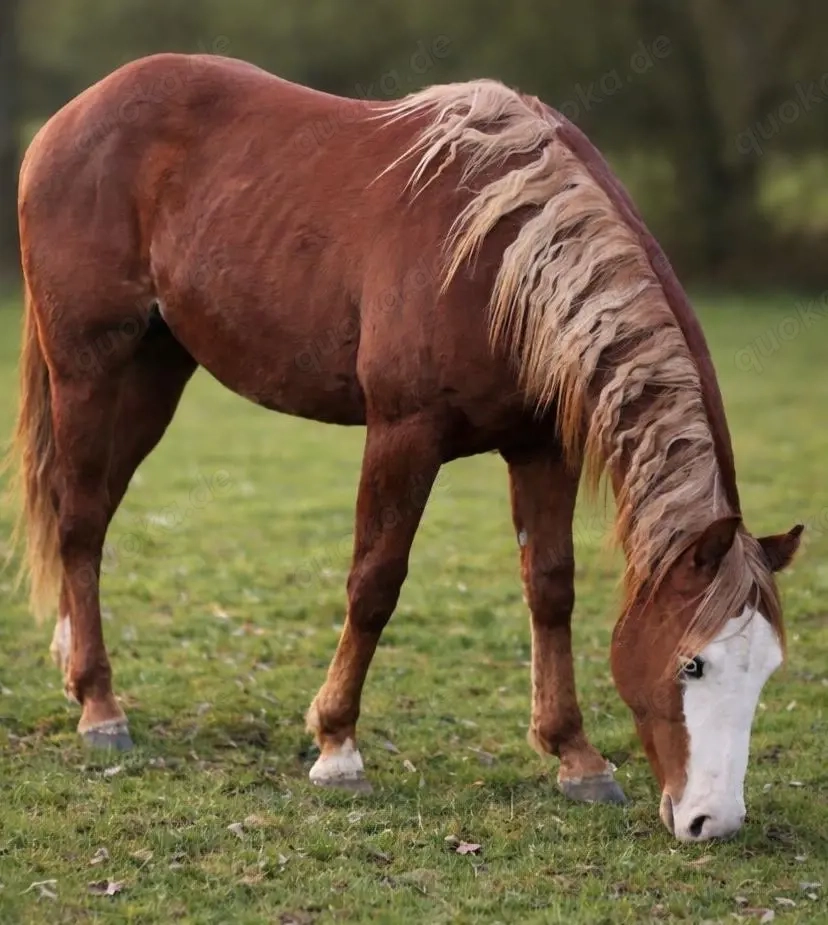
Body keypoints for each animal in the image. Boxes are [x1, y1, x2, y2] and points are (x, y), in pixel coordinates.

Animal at [6, 53, 802, 842]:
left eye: (767, 670)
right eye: (692, 664)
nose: (714, 820)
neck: (504, 257)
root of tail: (73, 116)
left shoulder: (543, 448)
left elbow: (550, 587)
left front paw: (576, 756)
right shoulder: (403, 433)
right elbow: (375, 582)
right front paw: (337, 746)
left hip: (154, 371)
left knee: (93, 514)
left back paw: (73, 664)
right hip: (88, 370)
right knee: (79, 520)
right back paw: (101, 708)